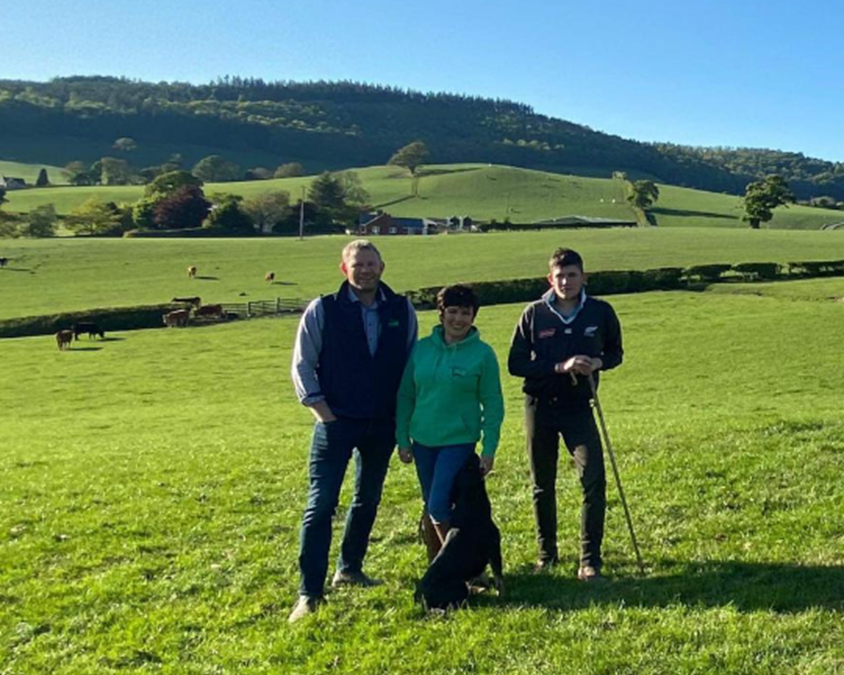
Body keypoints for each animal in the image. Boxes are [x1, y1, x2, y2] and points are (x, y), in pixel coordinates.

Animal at [414, 454, 502, 612]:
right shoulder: (494, 548)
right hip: (460, 586)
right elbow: (499, 575)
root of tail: (421, 599)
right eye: (469, 466)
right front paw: (501, 593)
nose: (472, 454)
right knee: (456, 604)